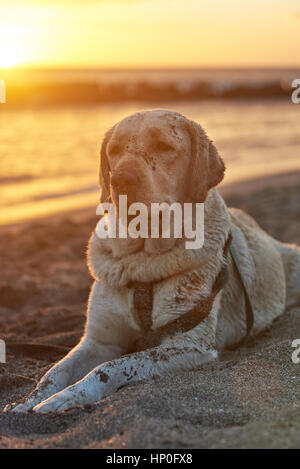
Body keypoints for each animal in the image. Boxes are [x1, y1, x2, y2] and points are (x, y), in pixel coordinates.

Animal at [8, 109, 300, 410]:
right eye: (113, 150)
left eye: (164, 146)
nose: (120, 180)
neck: (142, 260)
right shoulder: (98, 341)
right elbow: (55, 371)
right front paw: (30, 401)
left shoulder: (189, 345)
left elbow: (112, 366)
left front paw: (67, 397)